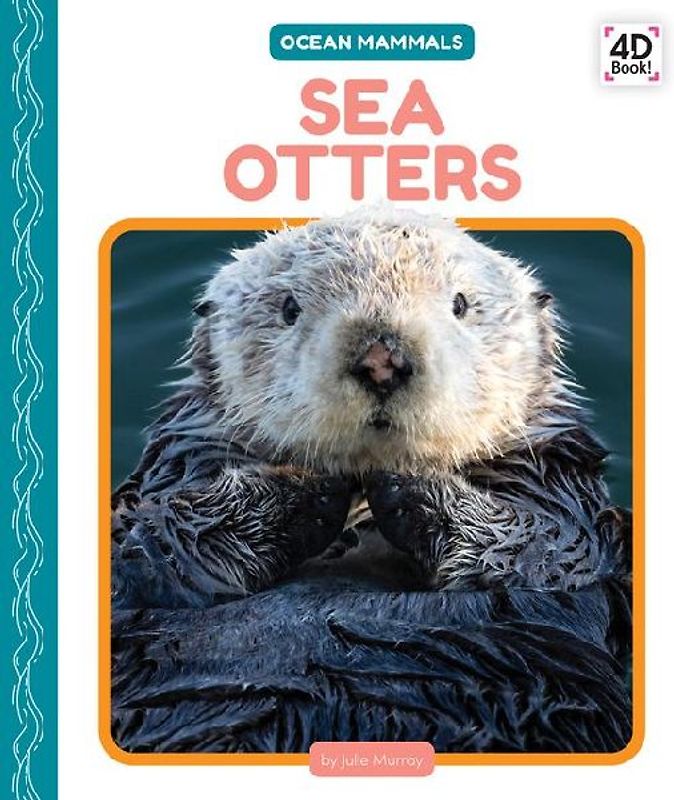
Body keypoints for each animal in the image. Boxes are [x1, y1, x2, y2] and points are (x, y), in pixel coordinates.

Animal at [111, 207, 629, 610]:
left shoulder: (566, 507)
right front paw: (310, 488)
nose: (382, 360)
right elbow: (151, 537)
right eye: (289, 308)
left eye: (461, 304)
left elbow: (543, 547)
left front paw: (404, 484)